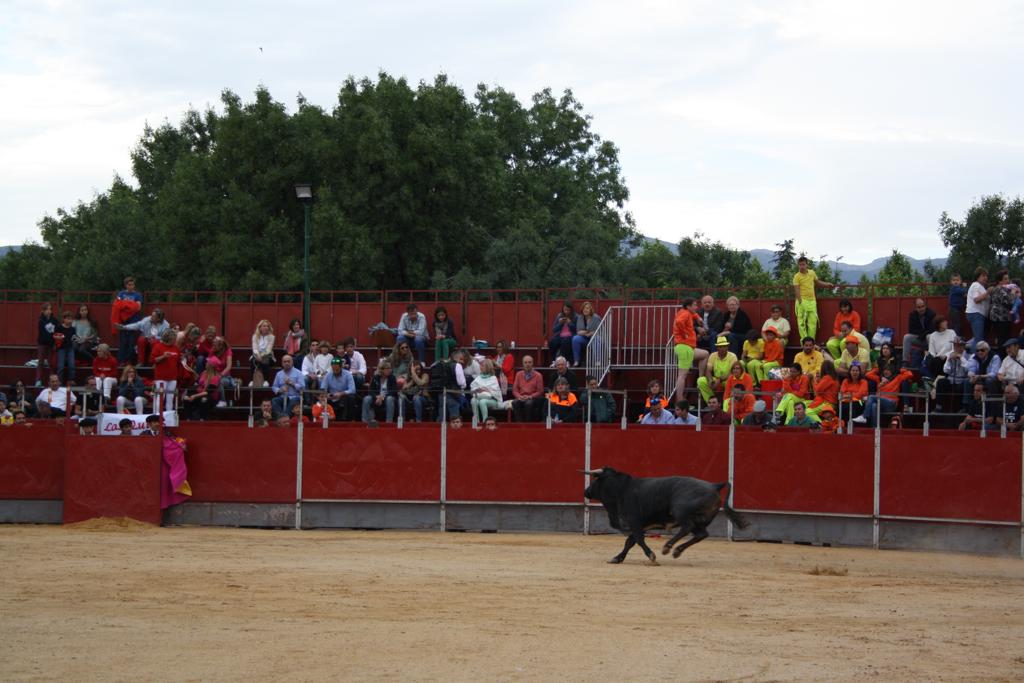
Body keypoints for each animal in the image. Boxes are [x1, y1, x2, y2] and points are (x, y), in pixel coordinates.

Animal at [585, 464, 753, 565]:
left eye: (595, 480)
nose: (586, 491)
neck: (622, 489)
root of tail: (714, 485)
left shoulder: (635, 522)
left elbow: (638, 540)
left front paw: (652, 556)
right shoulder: (641, 525)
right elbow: (629, 542)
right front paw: (617, 558)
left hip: (681, 512)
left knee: (687, 527)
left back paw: (667, 547)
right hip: (701, 521)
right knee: (701, 534)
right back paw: (677, 551)